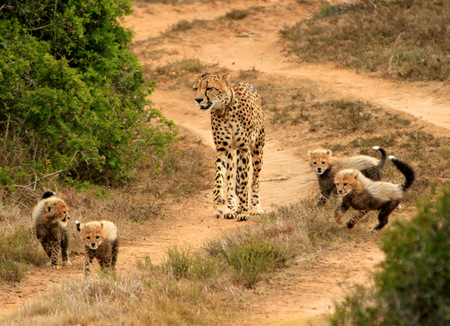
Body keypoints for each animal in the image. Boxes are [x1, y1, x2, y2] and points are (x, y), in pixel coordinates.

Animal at [192, 73, 264, 222]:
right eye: (195, 88)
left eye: (209, 88)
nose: (198, 99)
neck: (225, 110)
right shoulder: (222, 149)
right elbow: (218, 179)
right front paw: (218, 206)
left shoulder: (244, 148)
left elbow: (244, 183)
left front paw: (244, 211)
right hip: (231, 153)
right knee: (231, 179)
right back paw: (231, 209)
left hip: (257, 150)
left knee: (255, 179)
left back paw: (255, 208)